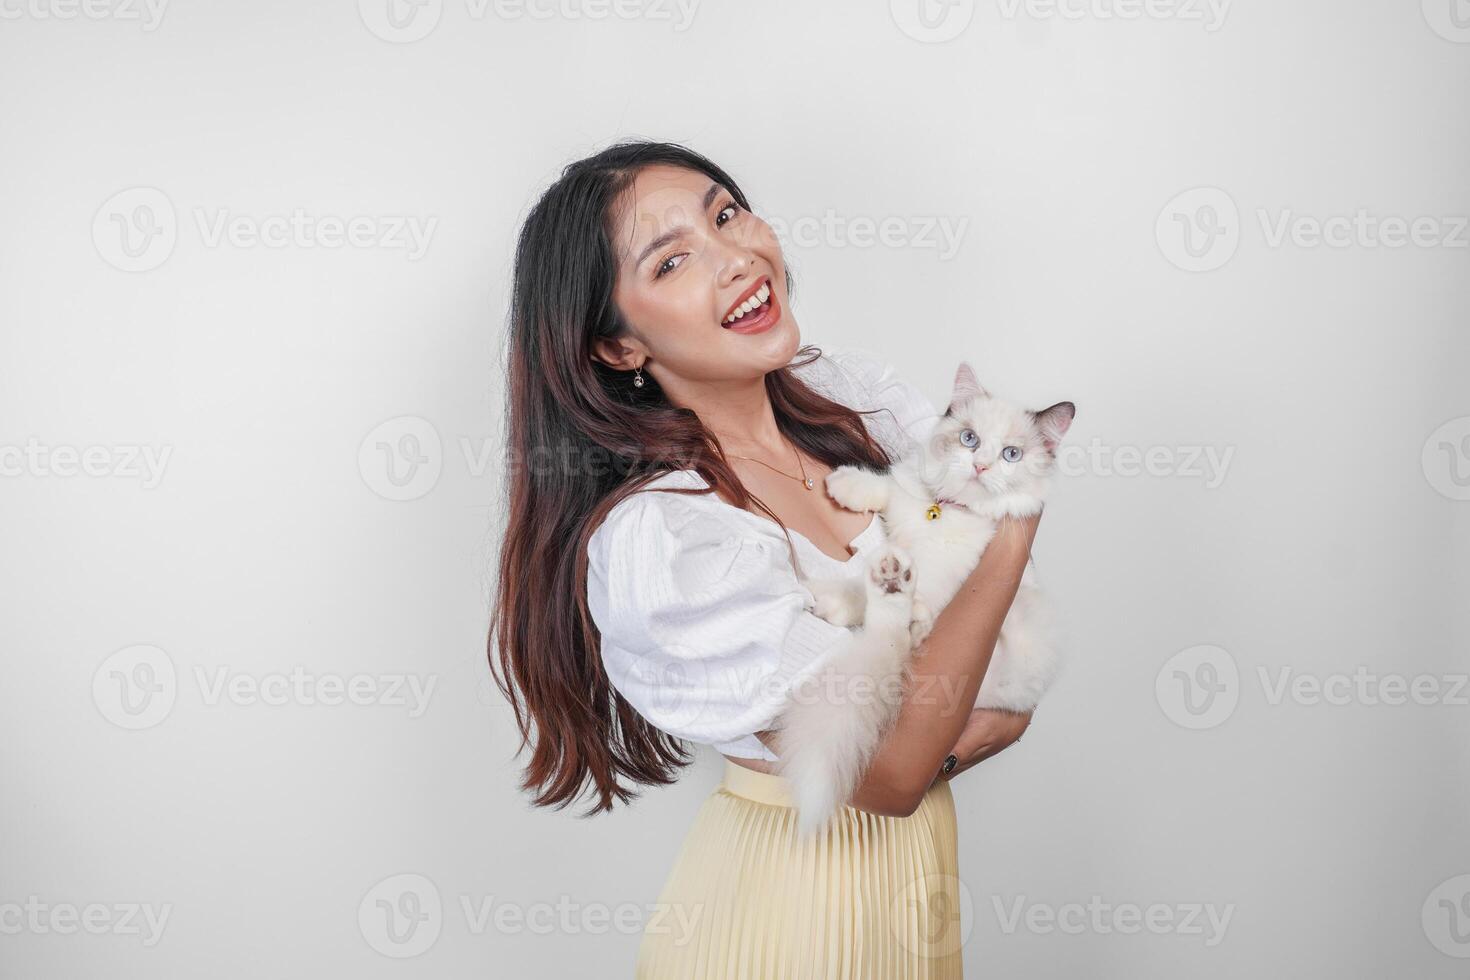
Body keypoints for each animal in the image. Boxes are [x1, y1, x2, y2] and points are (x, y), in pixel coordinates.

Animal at [776, 364, 1076, 840]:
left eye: (1011, 454)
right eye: (969, 438)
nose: (980, 465)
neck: (944, 512)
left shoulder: (948, 583)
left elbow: (908, 600)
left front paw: (895, 596)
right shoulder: (905, 498)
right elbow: (887, 488)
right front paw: (845, 485)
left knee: (895, 630)